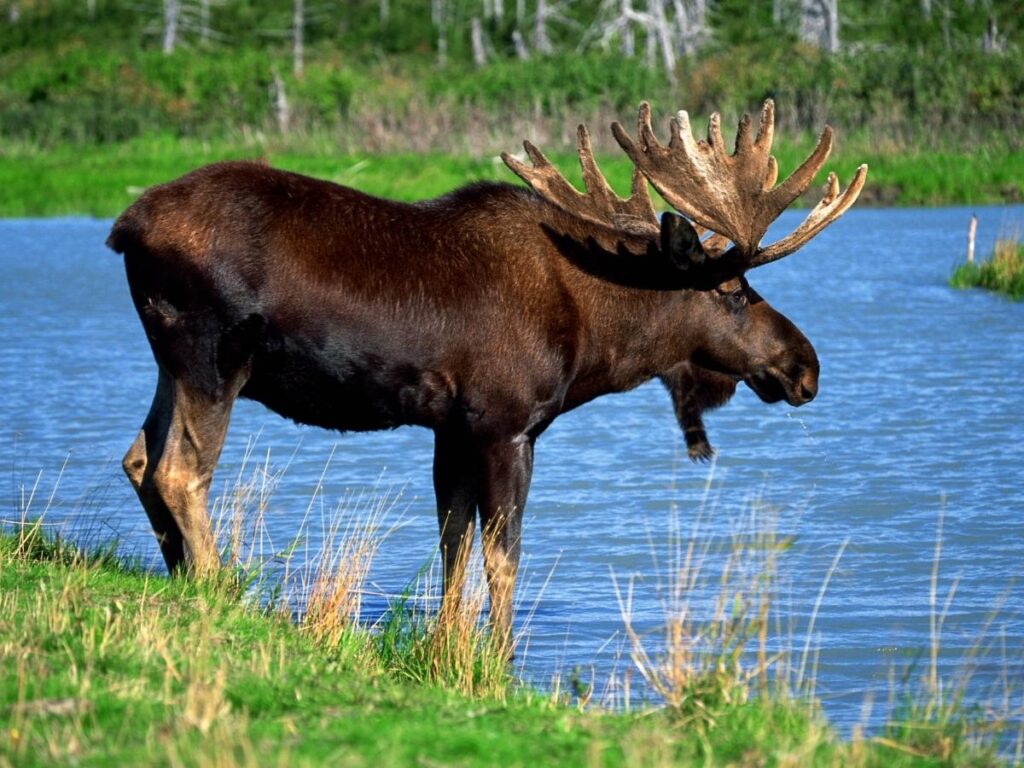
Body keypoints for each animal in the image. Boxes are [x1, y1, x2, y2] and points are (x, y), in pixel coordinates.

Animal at [107, 100, 866, 652]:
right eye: (734, 290)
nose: (805, 366)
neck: (597, 337)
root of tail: (123, 227)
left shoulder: (452, 427)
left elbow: (453, 544)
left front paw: (447, 649)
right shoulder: (507, 425)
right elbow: (504, 555)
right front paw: (499, 659)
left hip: (170, 360)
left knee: (139, 455)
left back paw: (182, 579)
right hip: (213, 355)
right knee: (180, 469)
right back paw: (217, 589)